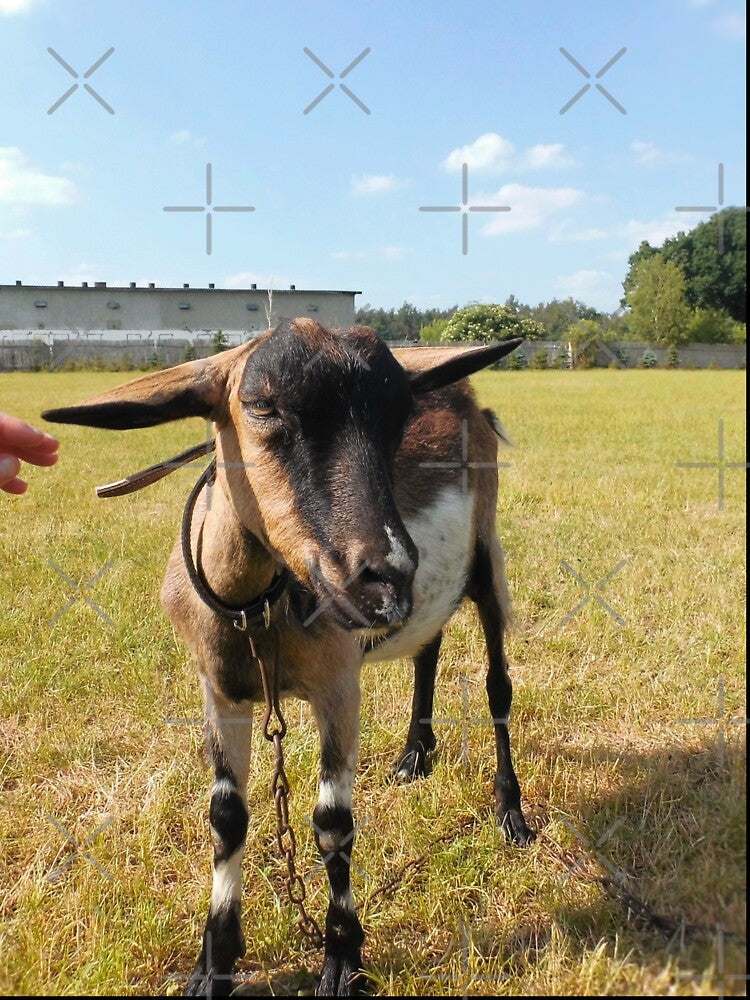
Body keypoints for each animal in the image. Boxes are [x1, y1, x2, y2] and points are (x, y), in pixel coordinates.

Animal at [43, 319, 534, 997]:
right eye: (262, 406)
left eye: (396, 415)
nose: (382, 578)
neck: (254, 609)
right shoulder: (219, 689)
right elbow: (226, 815)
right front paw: (214, 963)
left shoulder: (338, 683)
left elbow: (332, 821)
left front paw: (343, 957)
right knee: (428, 645)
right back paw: (414, 754)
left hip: (486, 554)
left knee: (496, 683)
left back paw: (511, 813)